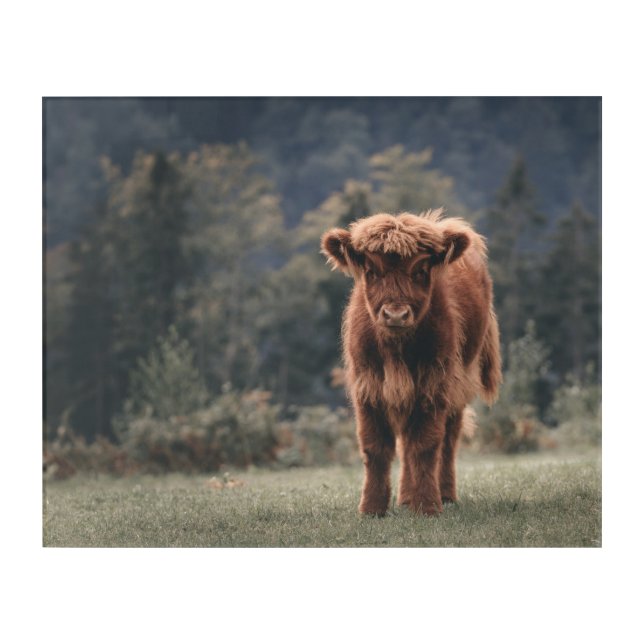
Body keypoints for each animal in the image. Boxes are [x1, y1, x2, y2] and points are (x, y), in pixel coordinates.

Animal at [321, 209, 502, 516]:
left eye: (420, 270)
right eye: (371, 271)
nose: (395, 314)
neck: (397, 350)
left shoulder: (434, 383)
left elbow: (426, 445)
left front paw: (428, 506)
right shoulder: (368, 386)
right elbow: (375, 447)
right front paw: (372, 509)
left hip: (460, 382)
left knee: (448, 440)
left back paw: (445, 495)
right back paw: (405, 498)